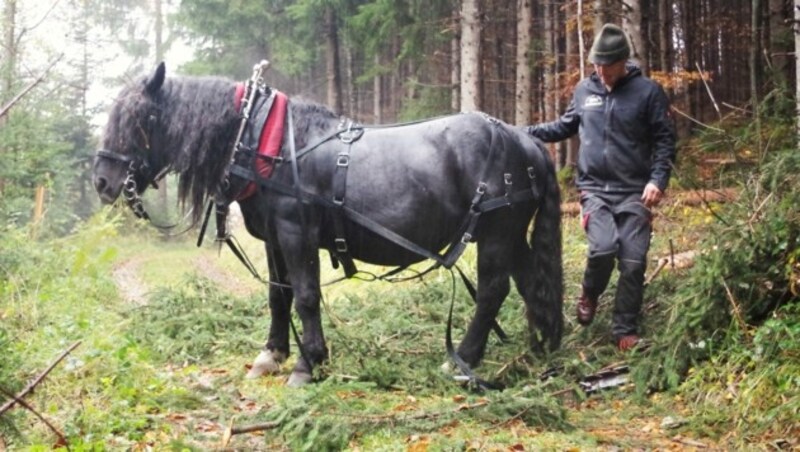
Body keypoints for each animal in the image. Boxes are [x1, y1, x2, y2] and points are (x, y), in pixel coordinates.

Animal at [92, 63, 564, 386]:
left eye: (140, 118)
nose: (102, 181)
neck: (265, 143)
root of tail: (525, 140)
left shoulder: (295, 233)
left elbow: (305, 296)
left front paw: (308, 362)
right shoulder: (274, 239)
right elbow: (278, 296)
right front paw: (273, 354)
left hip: (496, 233)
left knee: (492, 291)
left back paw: (463, 358)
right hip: (510, 237)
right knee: (529, 280)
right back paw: (541, 345)